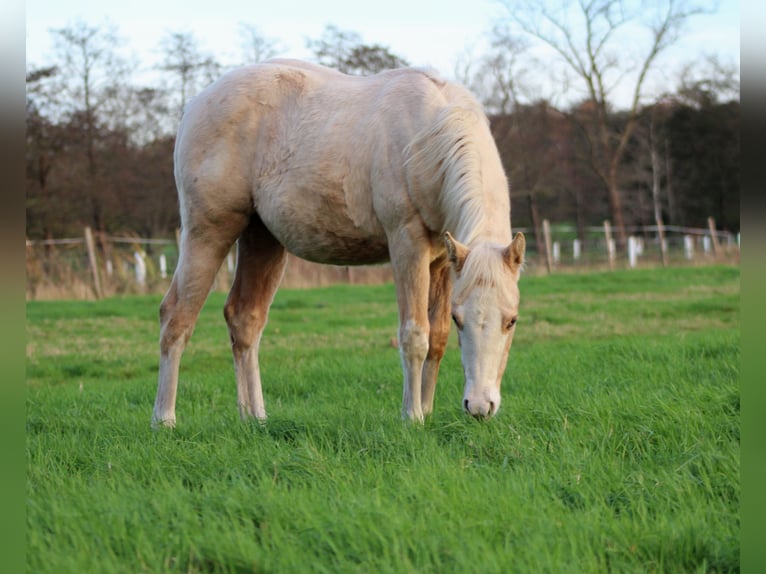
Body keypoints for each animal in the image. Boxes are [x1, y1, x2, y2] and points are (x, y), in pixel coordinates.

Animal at [152, 59, 525, 428]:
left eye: (512, 320)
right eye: (462, 319)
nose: (480, 407)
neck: (427, 138)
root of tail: (195, 104)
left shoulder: (441, 262)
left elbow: (437, 339)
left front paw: (427, 410)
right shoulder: (407, 245)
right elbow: (415, 335)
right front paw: (413, 418)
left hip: (262, 239)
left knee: (245, 320)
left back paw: (255, 418)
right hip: (207, 233)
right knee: (176, 318)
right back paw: (164, 419)